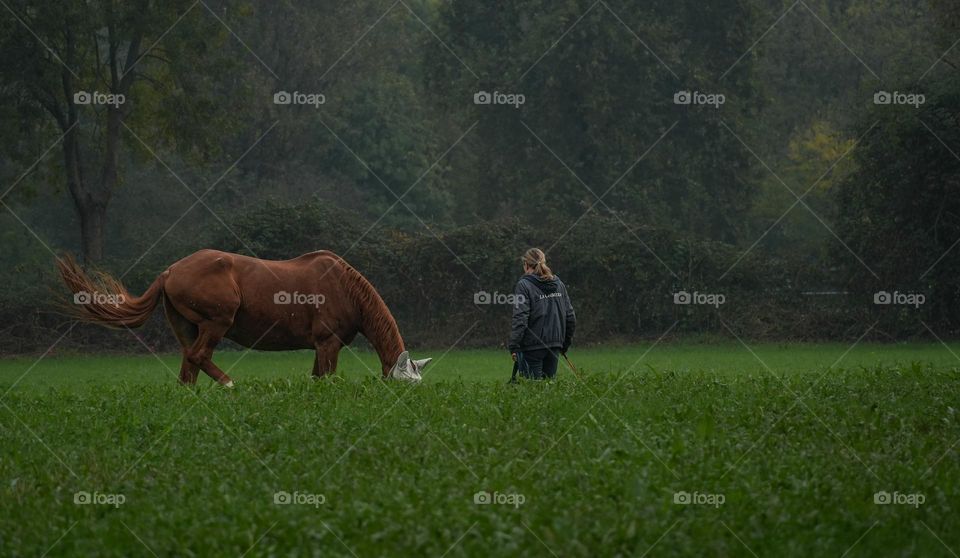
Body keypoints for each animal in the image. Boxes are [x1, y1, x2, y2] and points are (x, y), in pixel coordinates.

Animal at [56, 249, 432, 385]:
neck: (344, 287)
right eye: (404, 383)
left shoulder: (320, 348)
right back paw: (228, 384)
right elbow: (326, 378)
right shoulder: (328, 344)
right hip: (215, 324)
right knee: (199, 356)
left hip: (187, 327)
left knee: (188, 366)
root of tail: (170, 271)